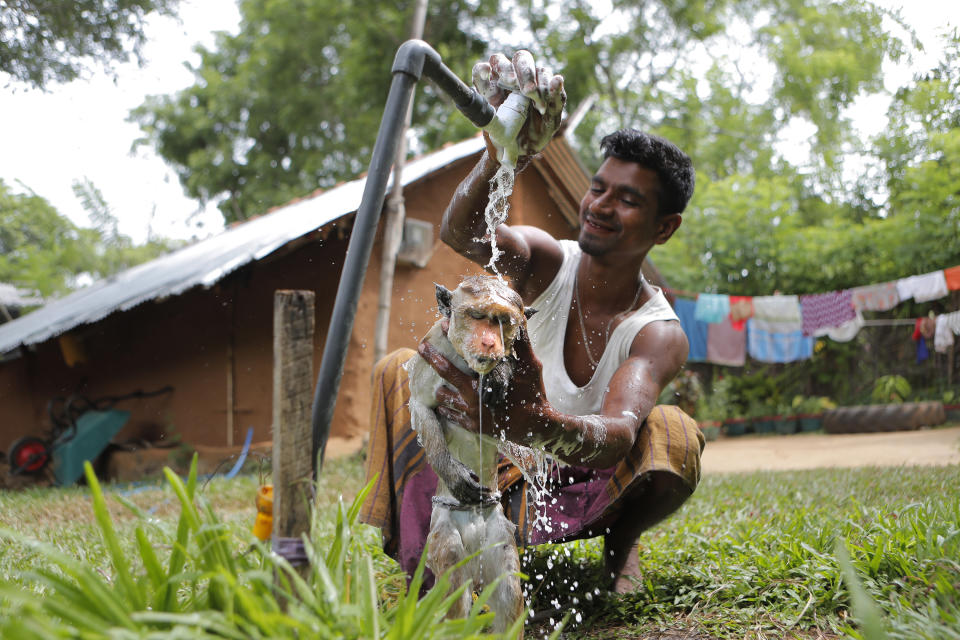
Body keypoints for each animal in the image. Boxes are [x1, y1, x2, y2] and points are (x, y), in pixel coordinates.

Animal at [404, 274, 536, 636]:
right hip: (445, 535)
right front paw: (454, 476)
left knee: (507, 592)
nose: (490, 343)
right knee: (454, 590)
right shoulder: (431, 351)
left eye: (503, 322)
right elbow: (421, 407)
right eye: (477, 316)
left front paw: (499, 373)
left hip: (498, 537)